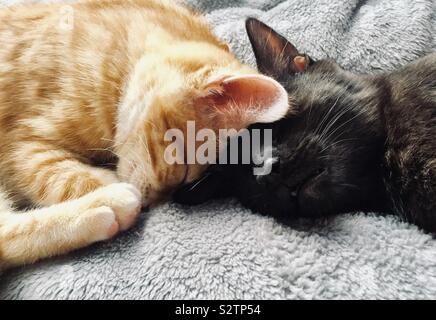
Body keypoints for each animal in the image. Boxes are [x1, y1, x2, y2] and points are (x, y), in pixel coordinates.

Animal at [0, 0, 290, 270]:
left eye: (186, 183)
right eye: (184, 173)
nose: (151, 206)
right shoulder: (22, 146)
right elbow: (66, 177)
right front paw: (111, 185)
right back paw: (109, 205)